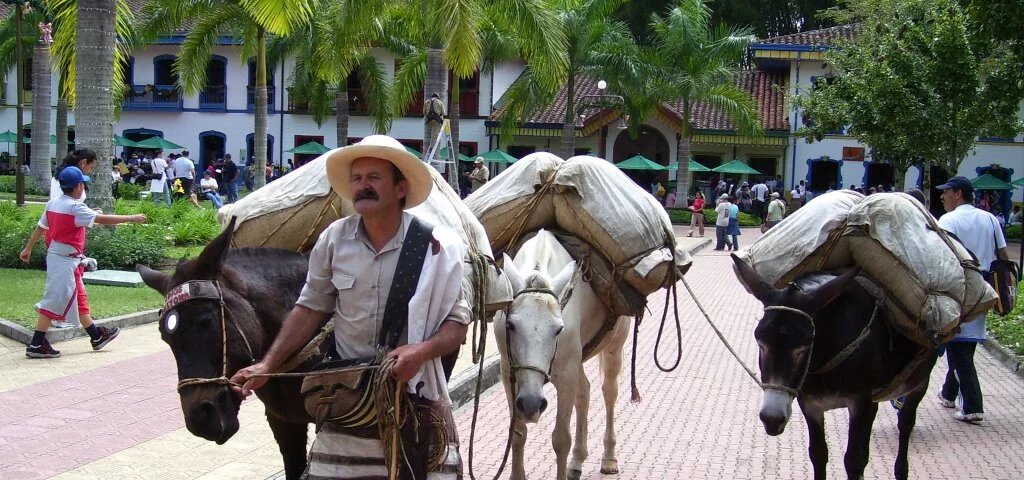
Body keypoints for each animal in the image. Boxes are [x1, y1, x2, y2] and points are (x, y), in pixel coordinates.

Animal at [497, 228, 630, 478]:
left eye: (558, 329)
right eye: (510, 325)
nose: (531, 403)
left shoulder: (566, 373)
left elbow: (561, 439)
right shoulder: (508, 371)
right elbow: (518, 433)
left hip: (613, 348)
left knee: (609, 392)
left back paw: (609, 458)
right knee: (584, 392)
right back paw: (577, 460)